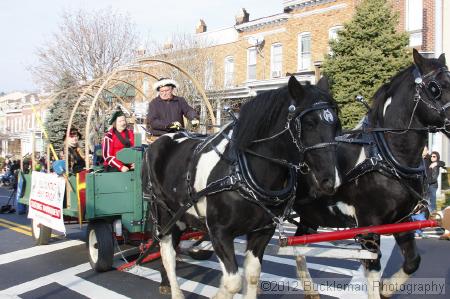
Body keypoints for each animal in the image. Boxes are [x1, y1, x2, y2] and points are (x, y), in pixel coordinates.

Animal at [142, 76, 340, 298]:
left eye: (336, 124)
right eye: (309, 123)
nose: (329, 181)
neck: (241, 172)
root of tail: (159, 142)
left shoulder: (262, 232)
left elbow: (252, 275)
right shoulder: (219, 233)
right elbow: (232, 282)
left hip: (180, 216)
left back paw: (165, 281)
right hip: (162, 213)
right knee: (167, 251)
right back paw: (175, 290)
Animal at [294, 50, 448, 298]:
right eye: (435, 88)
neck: (386, 157)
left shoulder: (401, 220)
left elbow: (412, 261)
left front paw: (387, 288)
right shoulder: (369, 225)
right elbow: (372, 267)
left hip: (310, 214)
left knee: (297, 245)